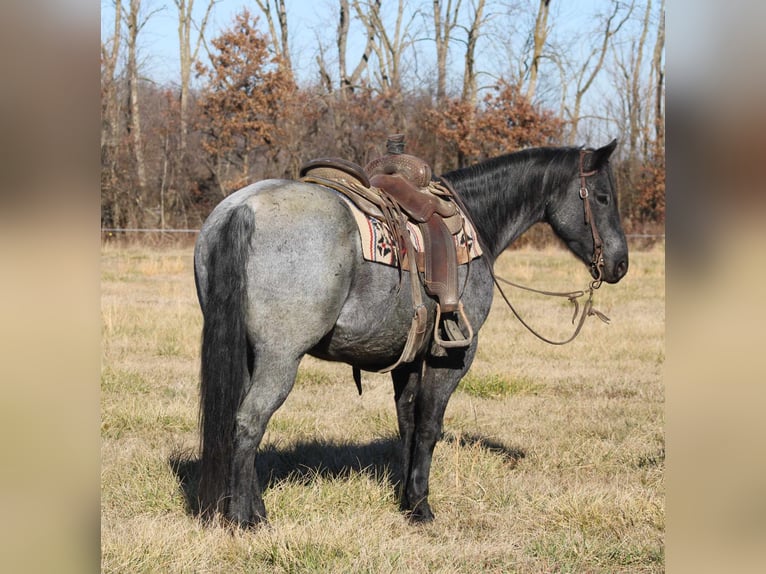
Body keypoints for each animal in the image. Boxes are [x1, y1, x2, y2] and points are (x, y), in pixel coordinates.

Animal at [192, 141, 632, 532]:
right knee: (249, 422)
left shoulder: (407, 357)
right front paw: (421, 506)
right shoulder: (452, 356)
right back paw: (246, 520)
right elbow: (428, 426)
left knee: (236, 420)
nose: (620, 264)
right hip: (280, 357)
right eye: (603, 197)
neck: (474, 221)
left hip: (249, 353)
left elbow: (406, 422)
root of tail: (242, 209)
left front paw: (404, 498)